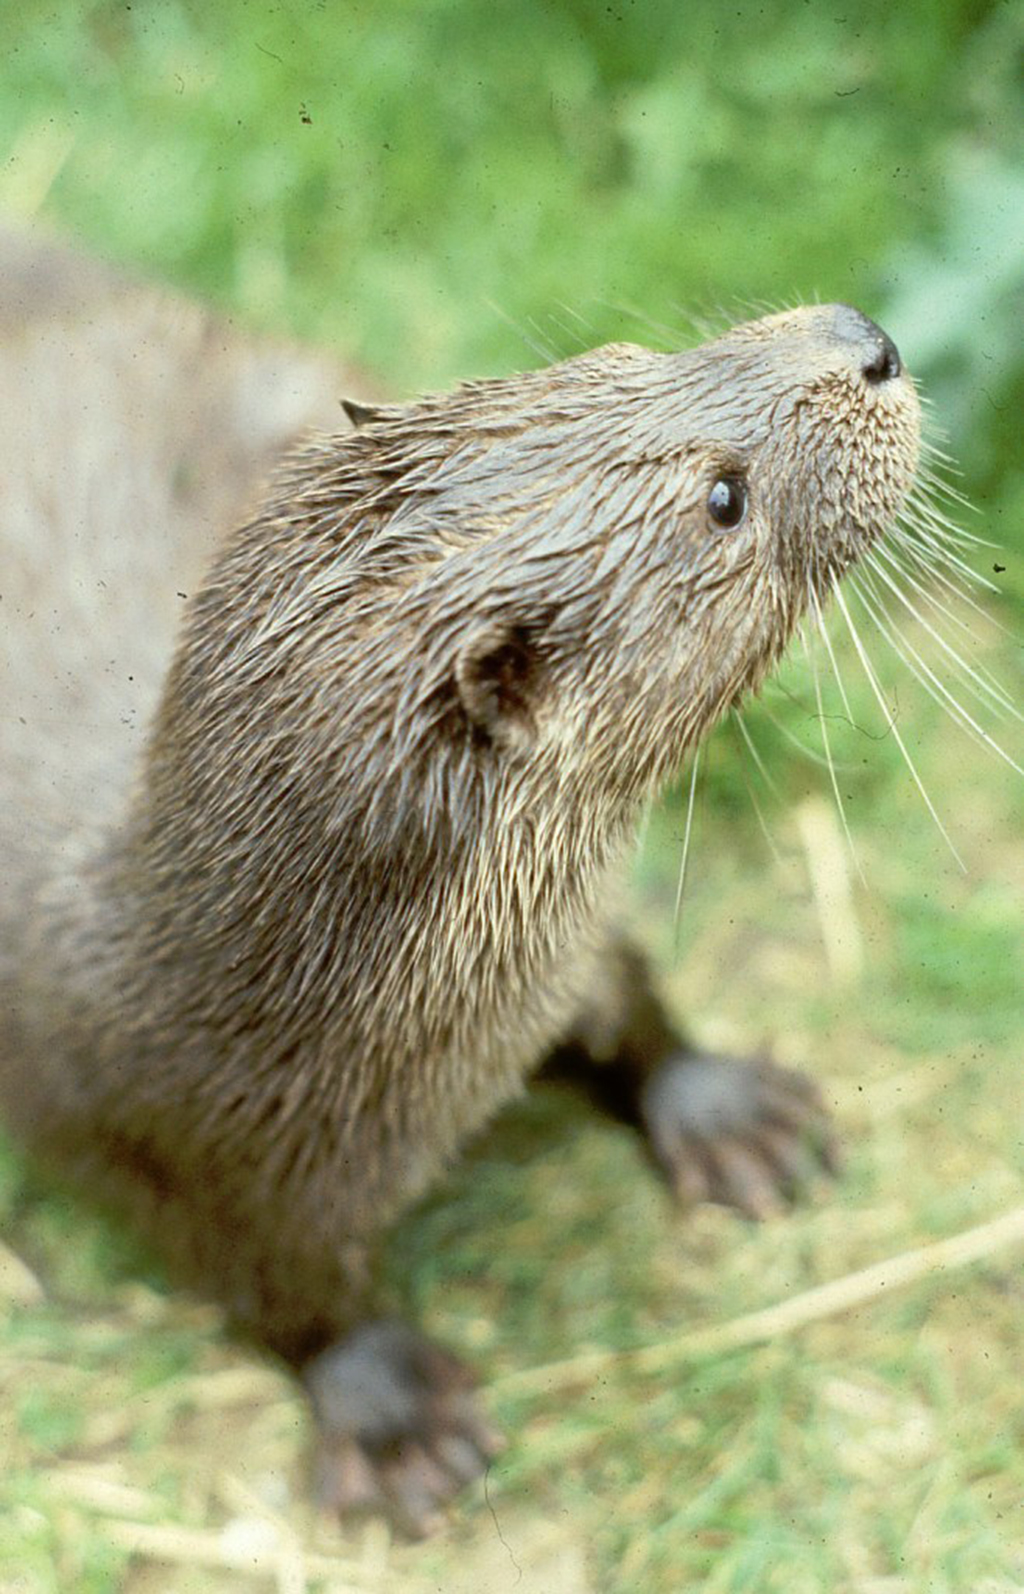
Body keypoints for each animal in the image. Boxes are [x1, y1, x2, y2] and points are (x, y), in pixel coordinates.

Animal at [0, 231, 918, 1536]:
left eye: (633, 356)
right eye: (722, 498)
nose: (866, 342)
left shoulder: (573, 953)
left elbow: (633, 999)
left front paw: (726, 1111)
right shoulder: (154, 1128)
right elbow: (276, 1285)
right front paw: (389, 1414)